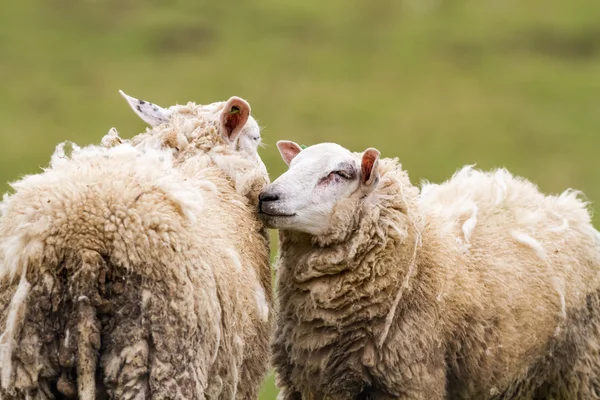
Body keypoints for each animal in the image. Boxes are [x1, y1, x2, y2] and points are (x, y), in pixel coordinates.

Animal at [258, 141, 600, 400]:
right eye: (292, 165)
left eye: (339, 174)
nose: (266, 196)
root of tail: (563, 206)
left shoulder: (411, 380)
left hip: (581, 371)